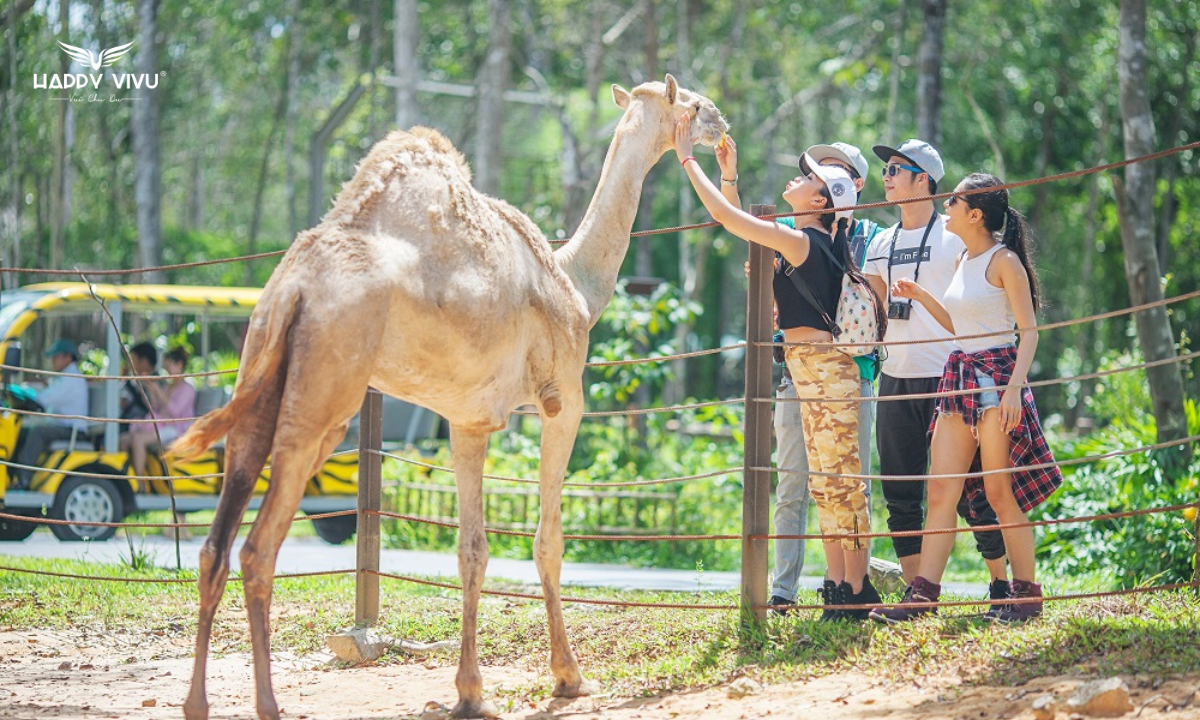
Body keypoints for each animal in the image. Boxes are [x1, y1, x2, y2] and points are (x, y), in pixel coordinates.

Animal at [172, 74, 724, 720]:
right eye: (691, 103)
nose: (721, 122)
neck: (577, 287)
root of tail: (294, 288)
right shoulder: (565, 402)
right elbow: (547, 542)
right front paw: (567, 676)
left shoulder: (468, 421)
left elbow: (471, 551)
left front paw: (469, 692)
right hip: (326, 388)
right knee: (259, 549)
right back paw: (268, 705)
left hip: (261, 367)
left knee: (215, 546)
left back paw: (197, 703)